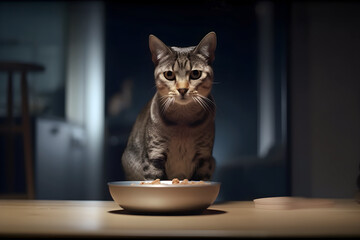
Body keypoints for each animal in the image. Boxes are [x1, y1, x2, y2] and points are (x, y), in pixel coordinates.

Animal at [121, 31, 217, 180]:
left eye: (195, 73)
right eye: (169, 74)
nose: (182, 89)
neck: (183, 122)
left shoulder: (204, 159)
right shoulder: (154, 156)